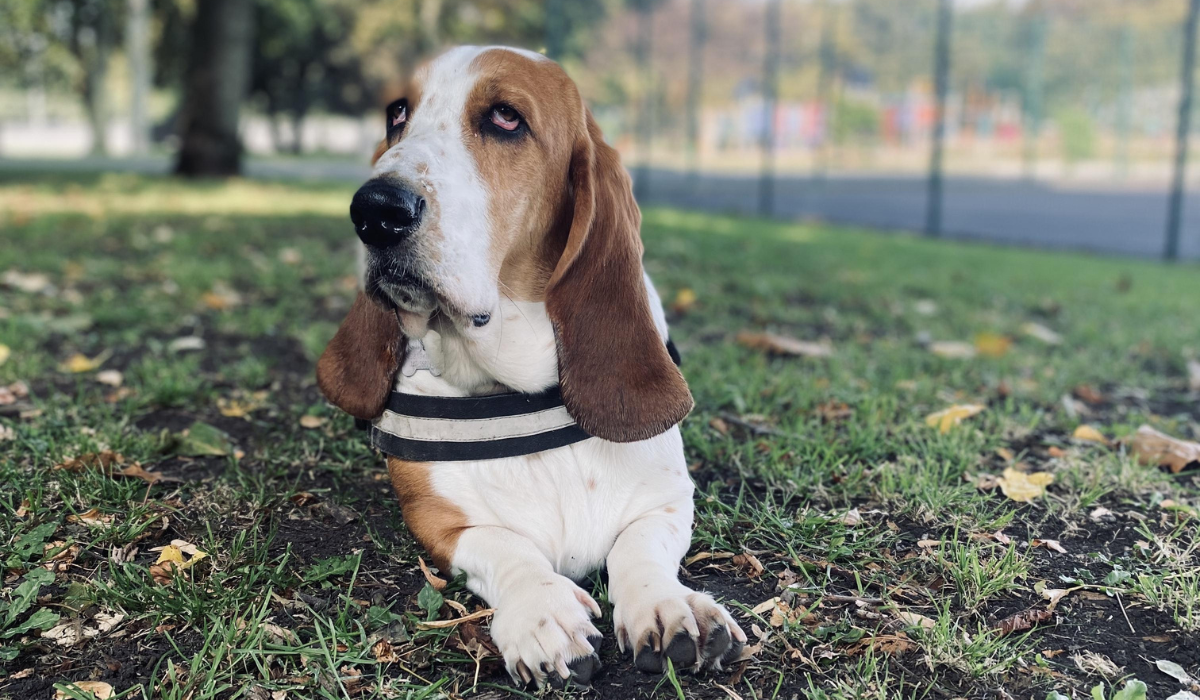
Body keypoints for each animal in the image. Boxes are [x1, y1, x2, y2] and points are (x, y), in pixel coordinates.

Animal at [316, 43, 748, 686]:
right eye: (397, 113)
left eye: (505, 118)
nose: (374, 210)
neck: (517, 392)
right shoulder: (442, 522)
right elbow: (507, 547)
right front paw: (544, 616)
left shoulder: (668, 500)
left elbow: (639, 546)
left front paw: (669, 605)